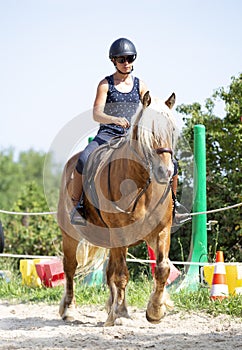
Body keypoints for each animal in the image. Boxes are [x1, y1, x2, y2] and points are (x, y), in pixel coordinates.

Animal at [56, 91, 178, 326]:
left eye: (172, 130)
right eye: (147, 132)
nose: (165, 171)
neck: (140, 183)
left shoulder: (161, 231)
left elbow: (162, 269)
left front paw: (155, 311)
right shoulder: (120, 234)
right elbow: (122, 275)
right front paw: (121, 313)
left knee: (109, 270)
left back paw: (109, 309)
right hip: (71, 235)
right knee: (70, 267)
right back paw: (69, 309)